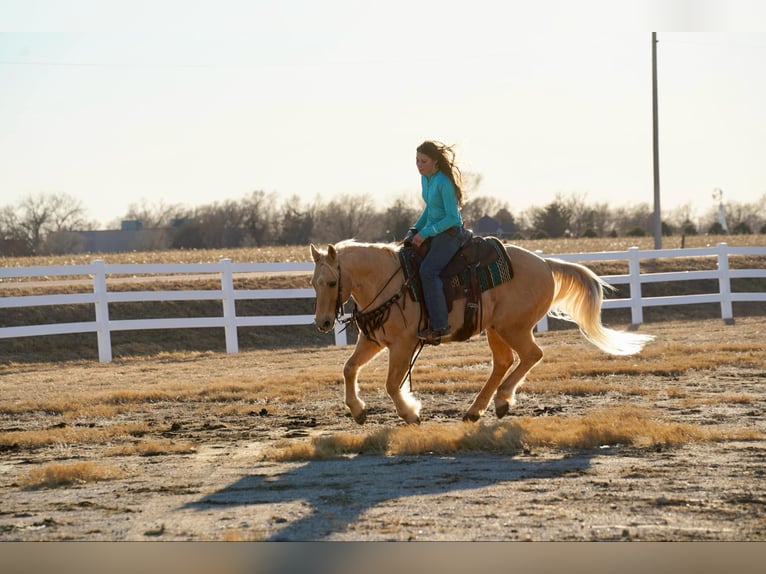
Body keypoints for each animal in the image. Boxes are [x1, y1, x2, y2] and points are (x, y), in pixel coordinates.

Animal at [312, 241, 656, 426]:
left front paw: (410, 413)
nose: (323, 322)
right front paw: (358, 410)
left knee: (531, 355)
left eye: (332, 282)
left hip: (513, 327)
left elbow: (392, 384)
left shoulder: (402, 344)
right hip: (495, 329)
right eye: (314, 282)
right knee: (504, 362)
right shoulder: (373, 340)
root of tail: (545, 262)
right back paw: (477, 409)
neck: (389, 281)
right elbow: (349, 368)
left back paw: (501, 400)